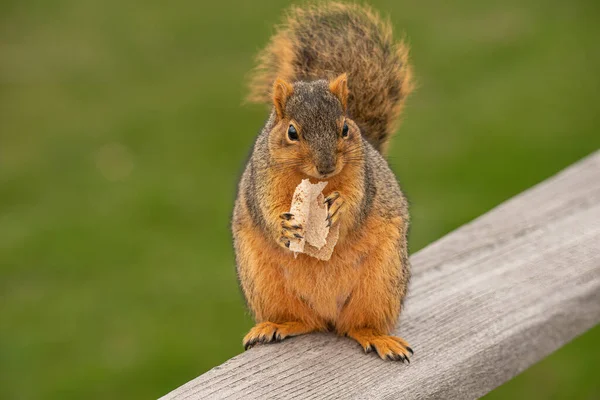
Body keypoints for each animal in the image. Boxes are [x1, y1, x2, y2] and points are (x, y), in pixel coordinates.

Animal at [232, 1, 414, 360]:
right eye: (291, 132)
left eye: (344, 128)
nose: (328, 166)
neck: (313, 182)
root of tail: (327, 312)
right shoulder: (262, 179)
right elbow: (266, 209)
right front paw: (283, 225)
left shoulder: (364, 176)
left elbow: (357, 203)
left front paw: (341, 206)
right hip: (264, 282)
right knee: (304, 320)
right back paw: (277, 325)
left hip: (383, 281)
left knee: (358, 324)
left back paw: (377, 337)